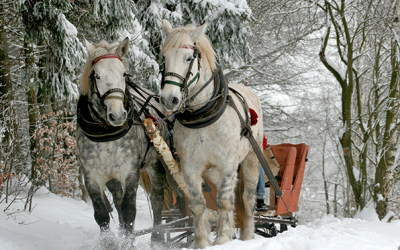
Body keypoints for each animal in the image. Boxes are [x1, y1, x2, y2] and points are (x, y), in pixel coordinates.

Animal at [159, 20, 262, 248]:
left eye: (189, 58)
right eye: (164, 57)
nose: (169, 99)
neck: (203, 115)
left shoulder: (229, 162)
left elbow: (223, 200)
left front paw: (222, 238)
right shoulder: (190, 166)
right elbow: (199, 204)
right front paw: (202, 242)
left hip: (250, 159)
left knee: (247, 198)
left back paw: (247, 235)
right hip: (213, 171)